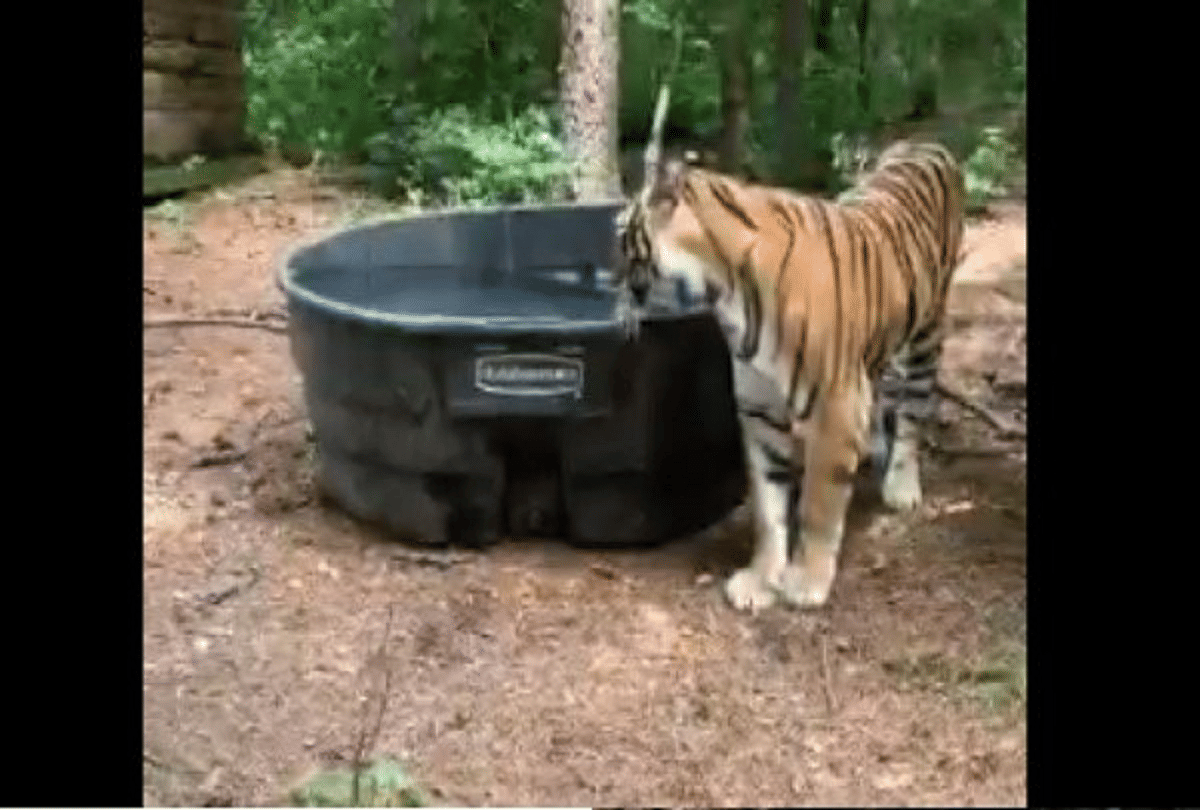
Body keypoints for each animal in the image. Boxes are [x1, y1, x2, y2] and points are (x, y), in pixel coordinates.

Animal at [614, 140, 965, 611]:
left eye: (622, 236)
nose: (612, 284)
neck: (727, 294)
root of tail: (924, 143)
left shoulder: (835, 405)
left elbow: (817, 503)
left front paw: (806, 581)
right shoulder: (760, 410)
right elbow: (768, 506)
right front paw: (760, 579)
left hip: (927, 332)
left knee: (913, 411)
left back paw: (902, 486)